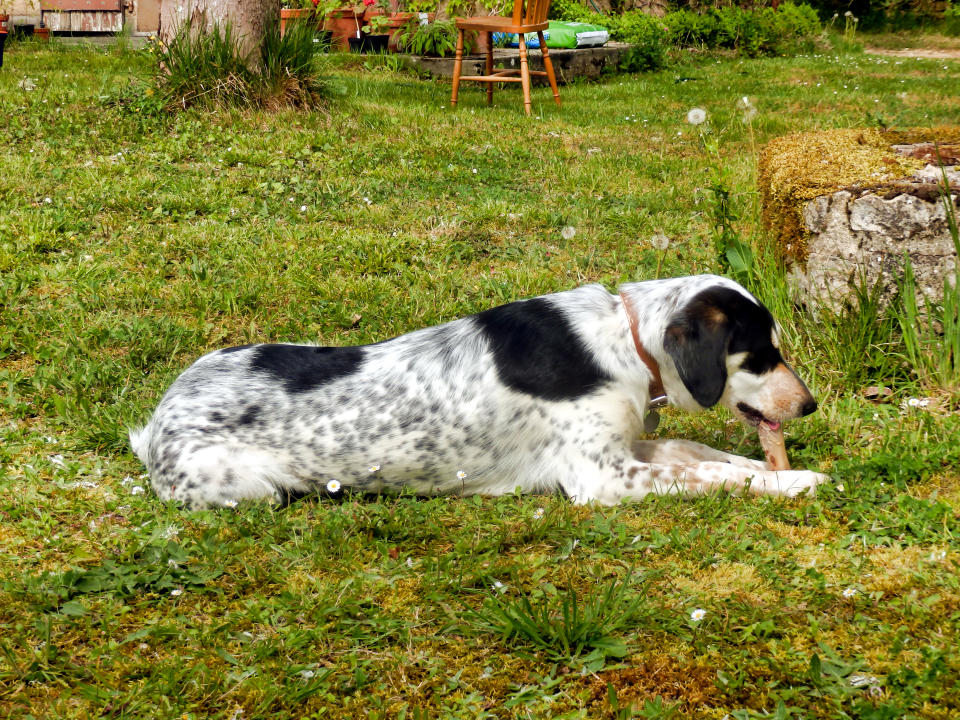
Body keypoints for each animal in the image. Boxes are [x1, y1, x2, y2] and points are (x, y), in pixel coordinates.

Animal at [131, 272, 828, 510]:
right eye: (762, 354)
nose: (811, 405)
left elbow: (703, 456)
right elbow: (716, 476)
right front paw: (797, 480)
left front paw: (778, 468)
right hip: (251, 488)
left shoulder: (624, 447)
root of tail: (156, 423)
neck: (624, 343)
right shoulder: (601, 477)